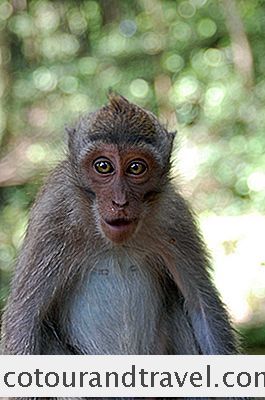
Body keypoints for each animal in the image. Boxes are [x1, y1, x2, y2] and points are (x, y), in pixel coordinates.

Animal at [0, 94, 239, 400]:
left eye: (136, 167)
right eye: (103, 166)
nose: (120, 201)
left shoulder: (174, 218)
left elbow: (202, 306)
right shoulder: (53, 215)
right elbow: (24, 320)